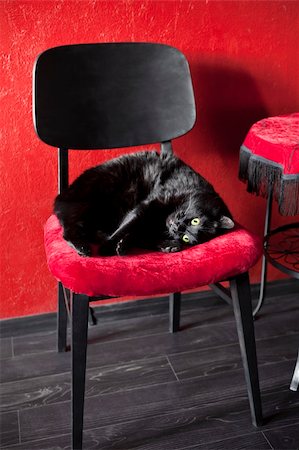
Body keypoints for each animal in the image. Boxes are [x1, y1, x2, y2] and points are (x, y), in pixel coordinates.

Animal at [55, 149, 236, 256]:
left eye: (186, 238)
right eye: (195, 221)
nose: (177, 228)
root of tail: (63, 195)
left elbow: (136, 232)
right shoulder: (149, 204)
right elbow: (127, 226)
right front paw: (108, 247)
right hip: (92, 200)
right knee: (69, 230)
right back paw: (84, 248)